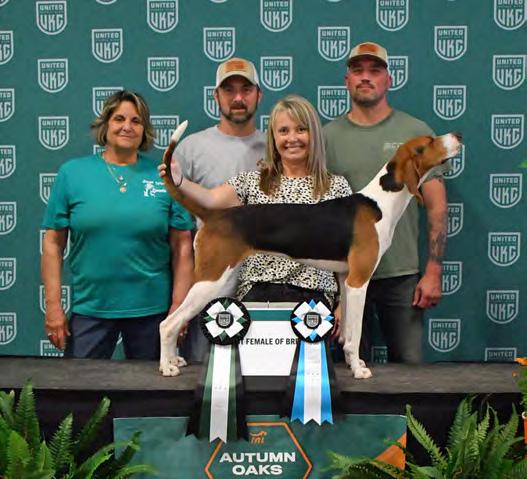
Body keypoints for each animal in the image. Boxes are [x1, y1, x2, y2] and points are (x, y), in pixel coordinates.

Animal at [159, 124, 462, 378]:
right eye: (429, 141)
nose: (457, 136)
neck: (381, 202)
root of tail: (213, 215)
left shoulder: (346, 280)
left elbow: (348, 331)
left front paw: (353, 363)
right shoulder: (358, 282)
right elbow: (355, 333)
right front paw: (359, 370)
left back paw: (174, 360)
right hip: (210, 280)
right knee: (168, 324)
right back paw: (166, 366)